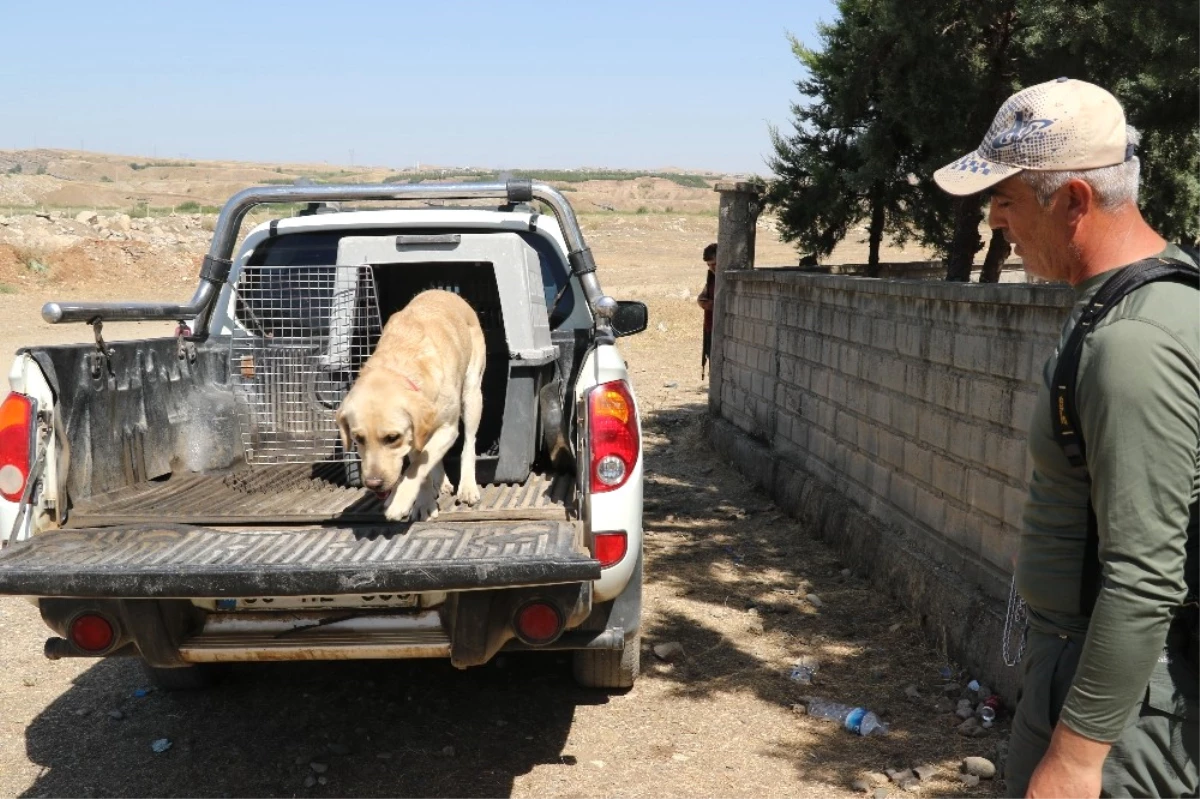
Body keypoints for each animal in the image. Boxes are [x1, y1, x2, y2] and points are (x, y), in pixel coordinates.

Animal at [336, 289, 484, 520]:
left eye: (392, 437)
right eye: (358, 438)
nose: (373, 484)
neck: (399, 368)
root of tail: (444, 292)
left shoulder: (447, 429)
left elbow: (418, 466)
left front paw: (401, 500)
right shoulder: (415, 436)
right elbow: (422, 464)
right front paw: (423, 502)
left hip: (472, 394)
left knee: (469, 442)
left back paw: (467, 486)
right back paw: (440, 483)